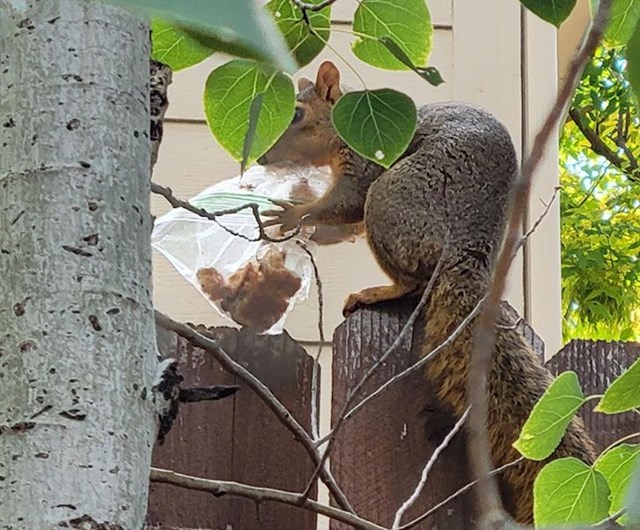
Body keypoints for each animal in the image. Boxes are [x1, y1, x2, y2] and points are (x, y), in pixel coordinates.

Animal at [258, 60, 596, 520]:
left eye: (296, 114)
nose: (262, 158)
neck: (337, 134)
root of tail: (467, 247)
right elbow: (344, 223)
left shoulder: (365, 164)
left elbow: (345, 202)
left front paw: (295, 213)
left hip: (390, 200)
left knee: (414, 280)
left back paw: (376, 292)